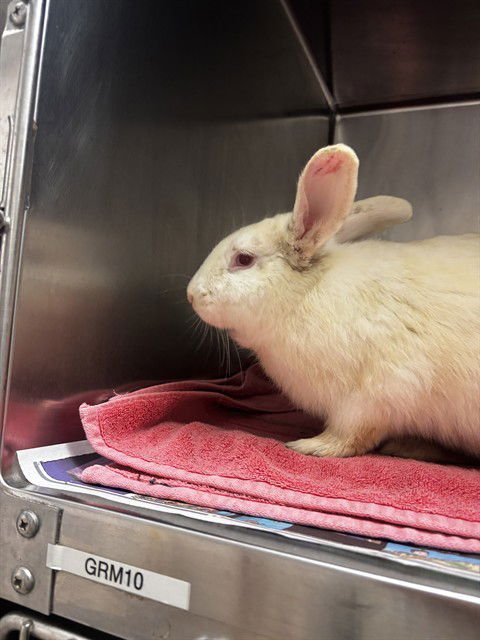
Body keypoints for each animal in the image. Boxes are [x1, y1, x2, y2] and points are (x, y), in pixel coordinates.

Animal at [187, 144, 480, 460]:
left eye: (243, 259)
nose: (191, 294)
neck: (305, 294)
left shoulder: (373, 395)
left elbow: (350, 436)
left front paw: (310, 446)